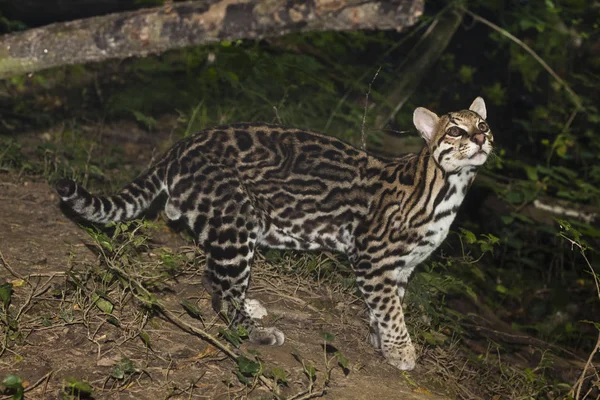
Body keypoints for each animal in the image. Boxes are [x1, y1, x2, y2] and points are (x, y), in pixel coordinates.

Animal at [55, 97, 492, 372]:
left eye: (483, 124)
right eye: (455, 131)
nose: (479, 138)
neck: (449, 187)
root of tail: (181, 145)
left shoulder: (401, 268)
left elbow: (390, 306)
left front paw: (381, 341)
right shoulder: (373, 258)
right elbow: (391, 311)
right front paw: (401, 350)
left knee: (215, 278)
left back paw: (250, 306)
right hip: (237, 219)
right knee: (222, 296)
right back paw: (254, 330)